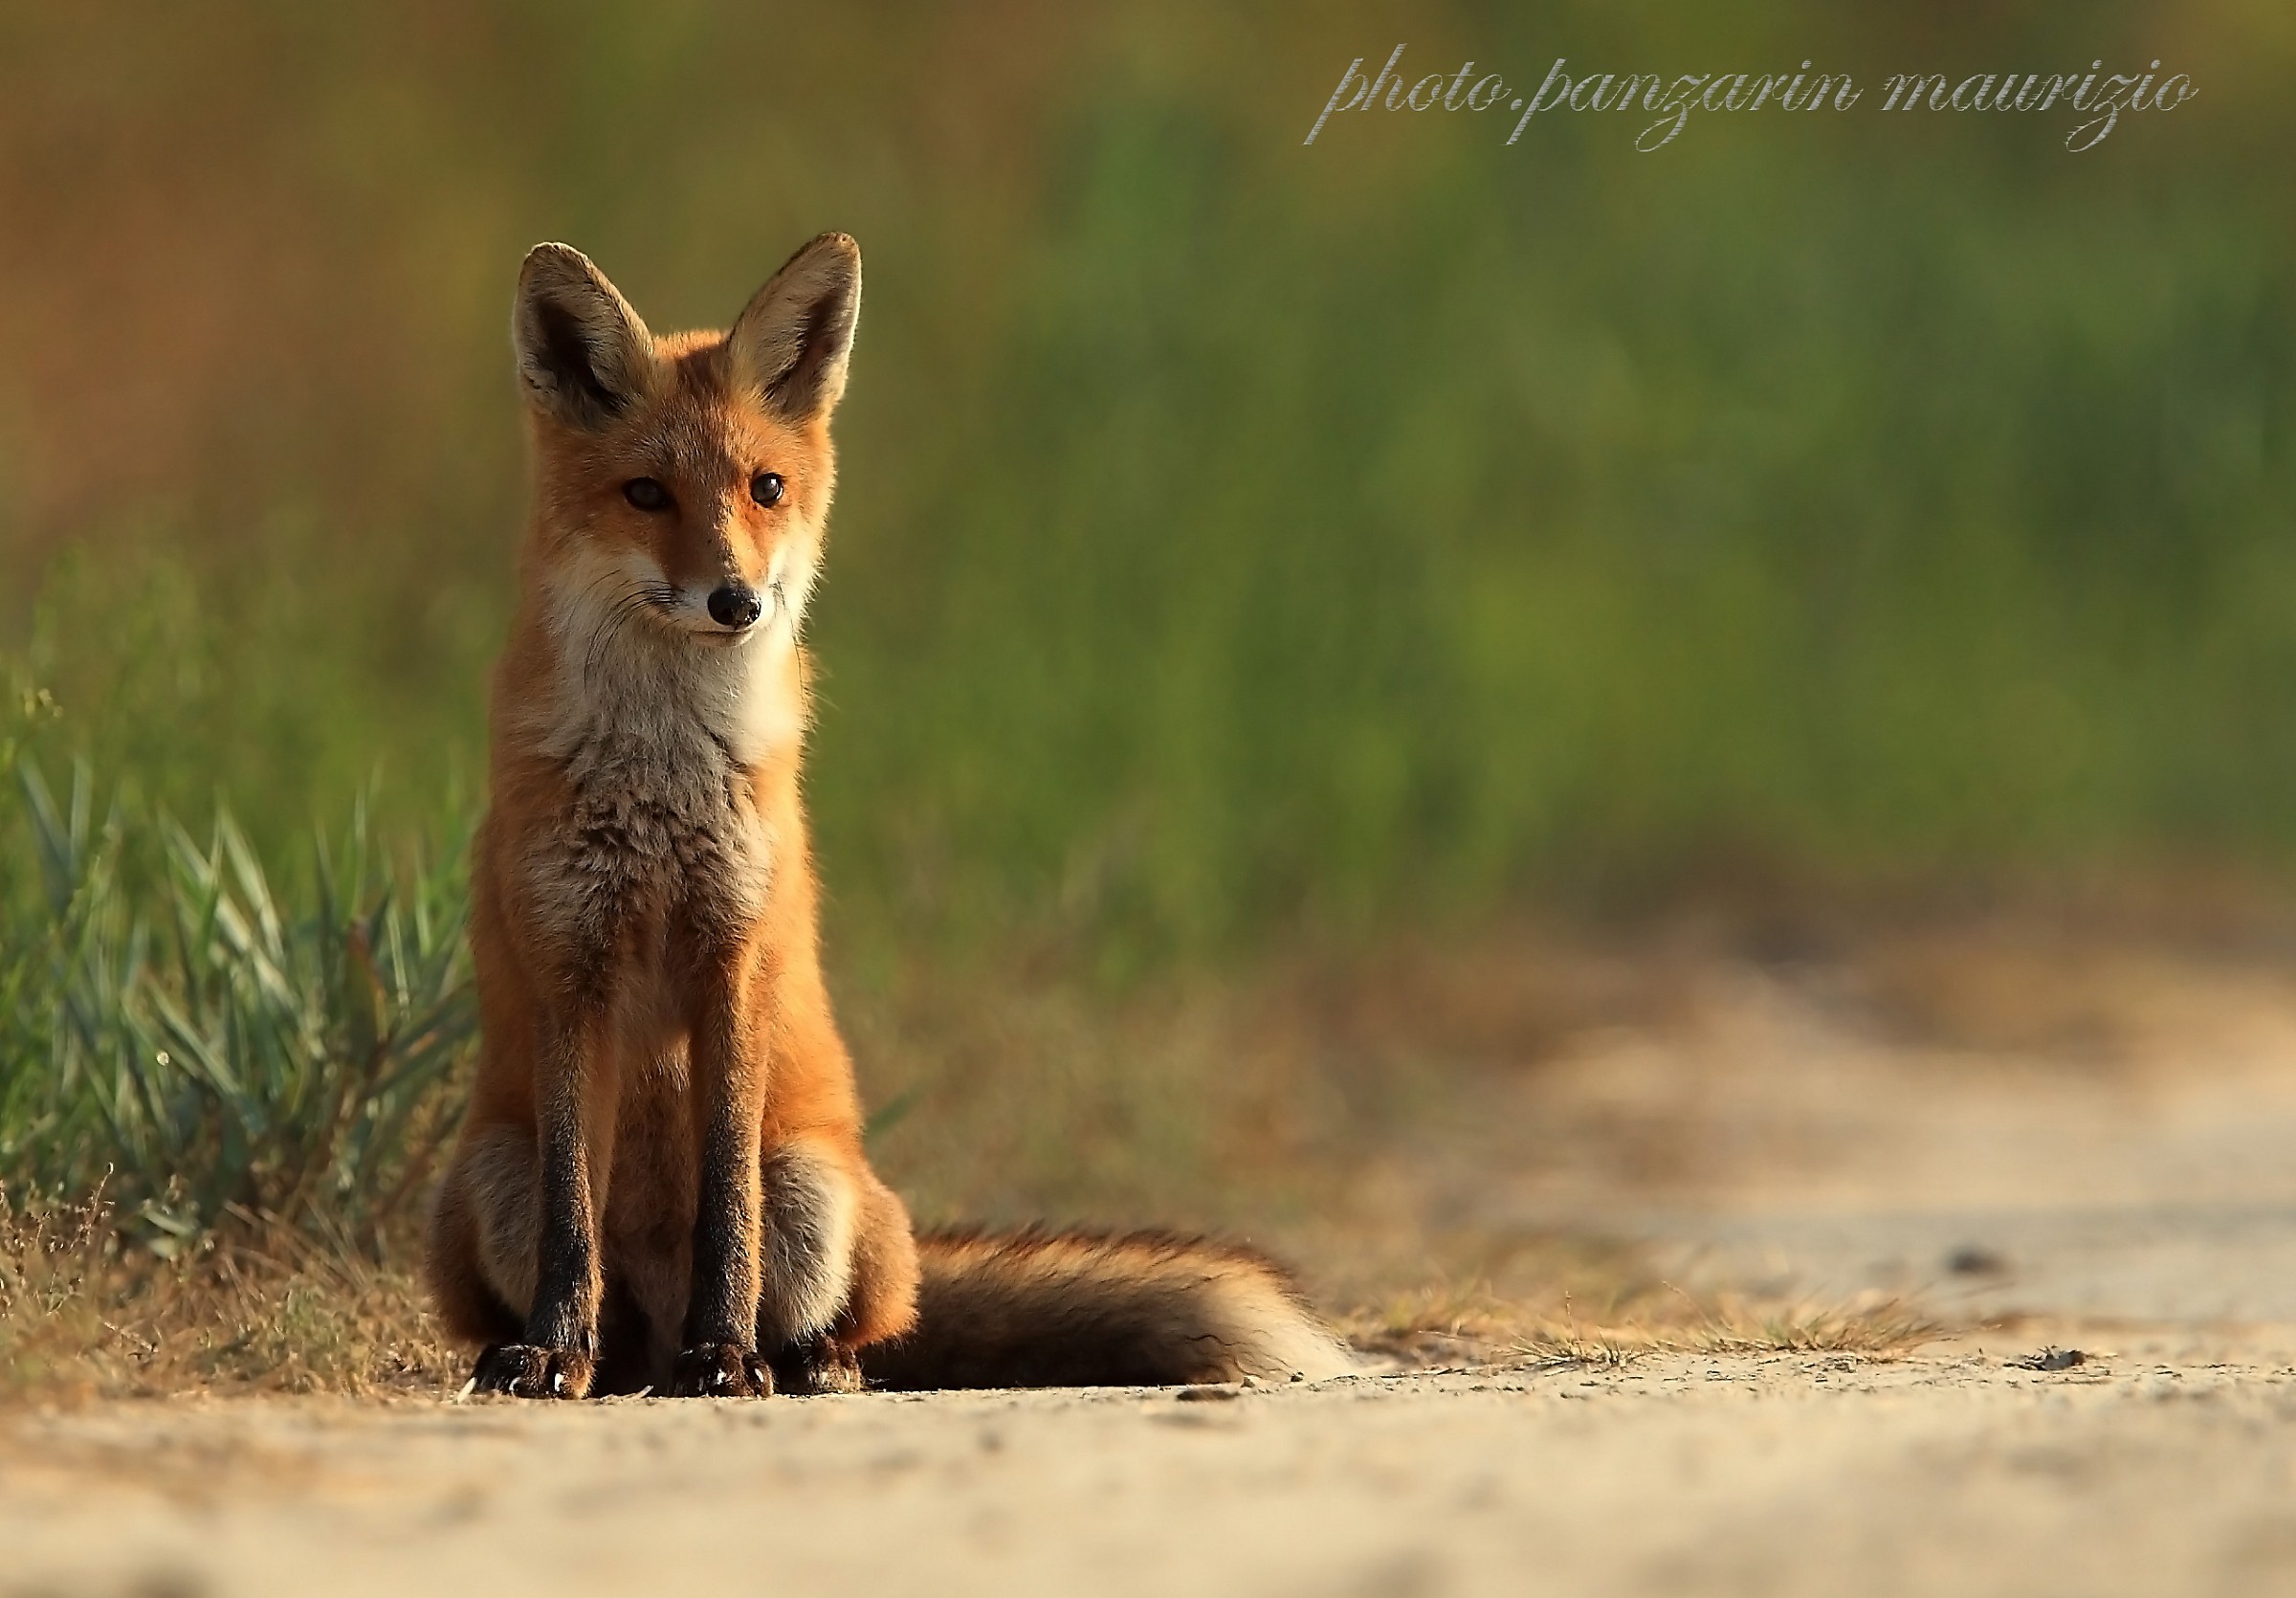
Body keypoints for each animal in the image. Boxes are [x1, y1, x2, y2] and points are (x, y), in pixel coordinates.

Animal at [422, 234, 1358, 1398]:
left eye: (766, 488)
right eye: (645, 493)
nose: (737, 600)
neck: (660, 776)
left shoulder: (738, 958)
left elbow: (726, 1201)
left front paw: (727, 1353)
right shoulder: (567, 968)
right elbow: (570, 1221)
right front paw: (552, 1348)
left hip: (815, 1190)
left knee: (857, 1324)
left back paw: (793, 1359)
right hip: (486, 1178)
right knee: (604, 1303)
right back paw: (596, 1354)